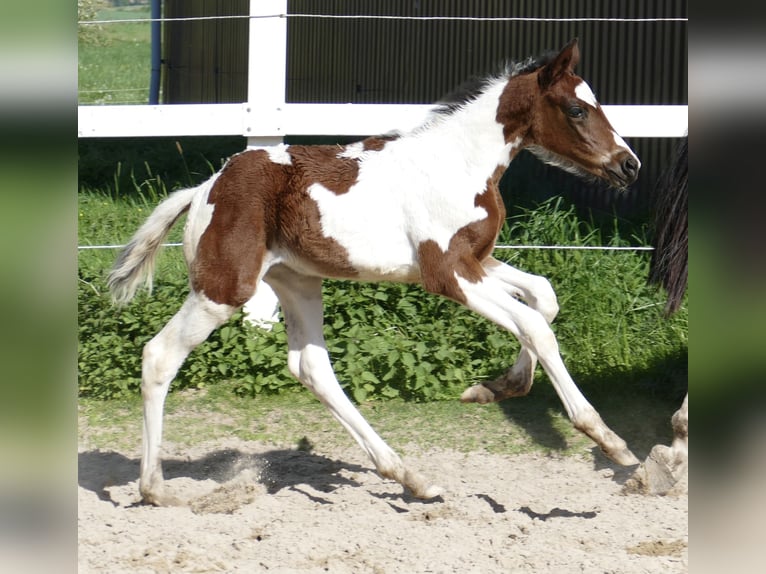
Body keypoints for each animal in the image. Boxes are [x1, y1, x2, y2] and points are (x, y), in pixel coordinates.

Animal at [109, 40, 640, 506]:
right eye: (577, 109)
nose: (629, 165)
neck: (458, 164)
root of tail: (203, 189)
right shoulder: (448, 272)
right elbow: (534, 324)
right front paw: (608, 440)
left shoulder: (477, 261)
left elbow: (543, 297)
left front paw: (495, 388)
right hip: (222, 289)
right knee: (159, 355)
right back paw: (154, 490)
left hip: (298, 282)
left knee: (312, 368)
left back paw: (410, 477)